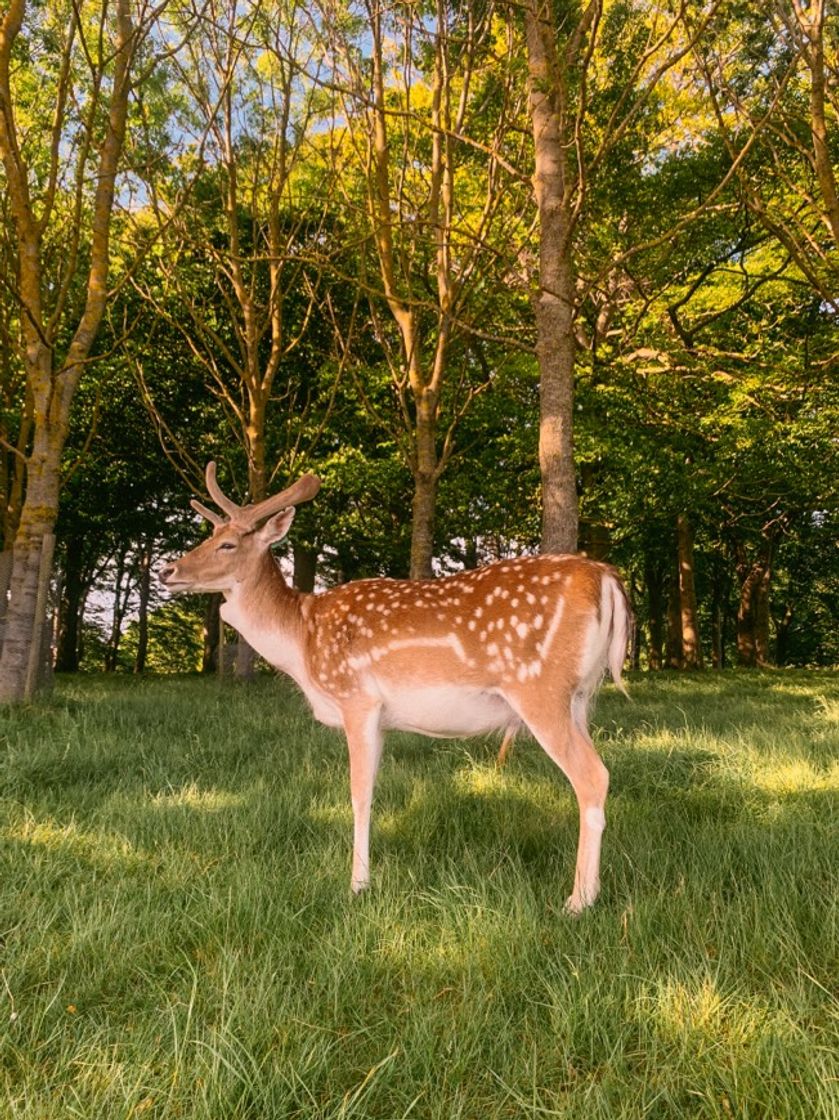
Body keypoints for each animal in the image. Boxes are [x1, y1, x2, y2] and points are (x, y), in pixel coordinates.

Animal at [160, 463, 627, 909]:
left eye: (228, 544)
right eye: (210, 534)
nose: (169, 570)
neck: (303, 641)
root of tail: (607, 577)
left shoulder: (356, 698)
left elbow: (358, 794)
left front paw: (357, 885)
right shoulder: (382, 718)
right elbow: (374, 792)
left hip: (540, 688)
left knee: (593, 775)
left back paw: (578, 901)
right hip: (579, 698)